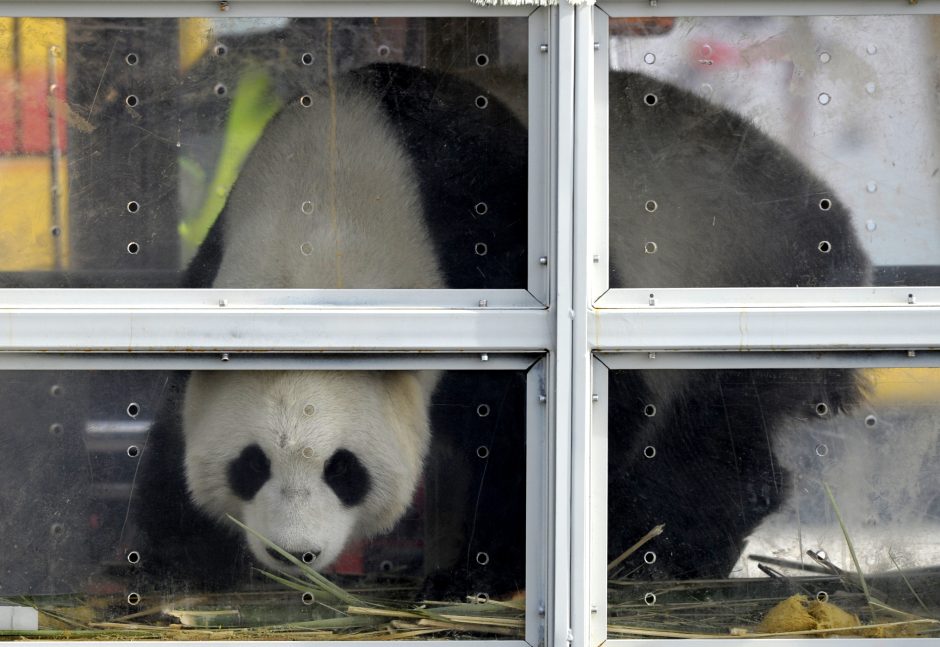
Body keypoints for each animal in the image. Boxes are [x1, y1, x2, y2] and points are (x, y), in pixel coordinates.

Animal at [130, 66, 868, 596]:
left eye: (345, 470)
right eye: (250, 464)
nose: (296, 552)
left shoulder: (482, 237)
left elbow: (561, 424)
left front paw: (475, 574)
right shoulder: (216, 265)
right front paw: (177, 557)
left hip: (751, 272)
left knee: (712, 432)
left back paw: (657, 550)